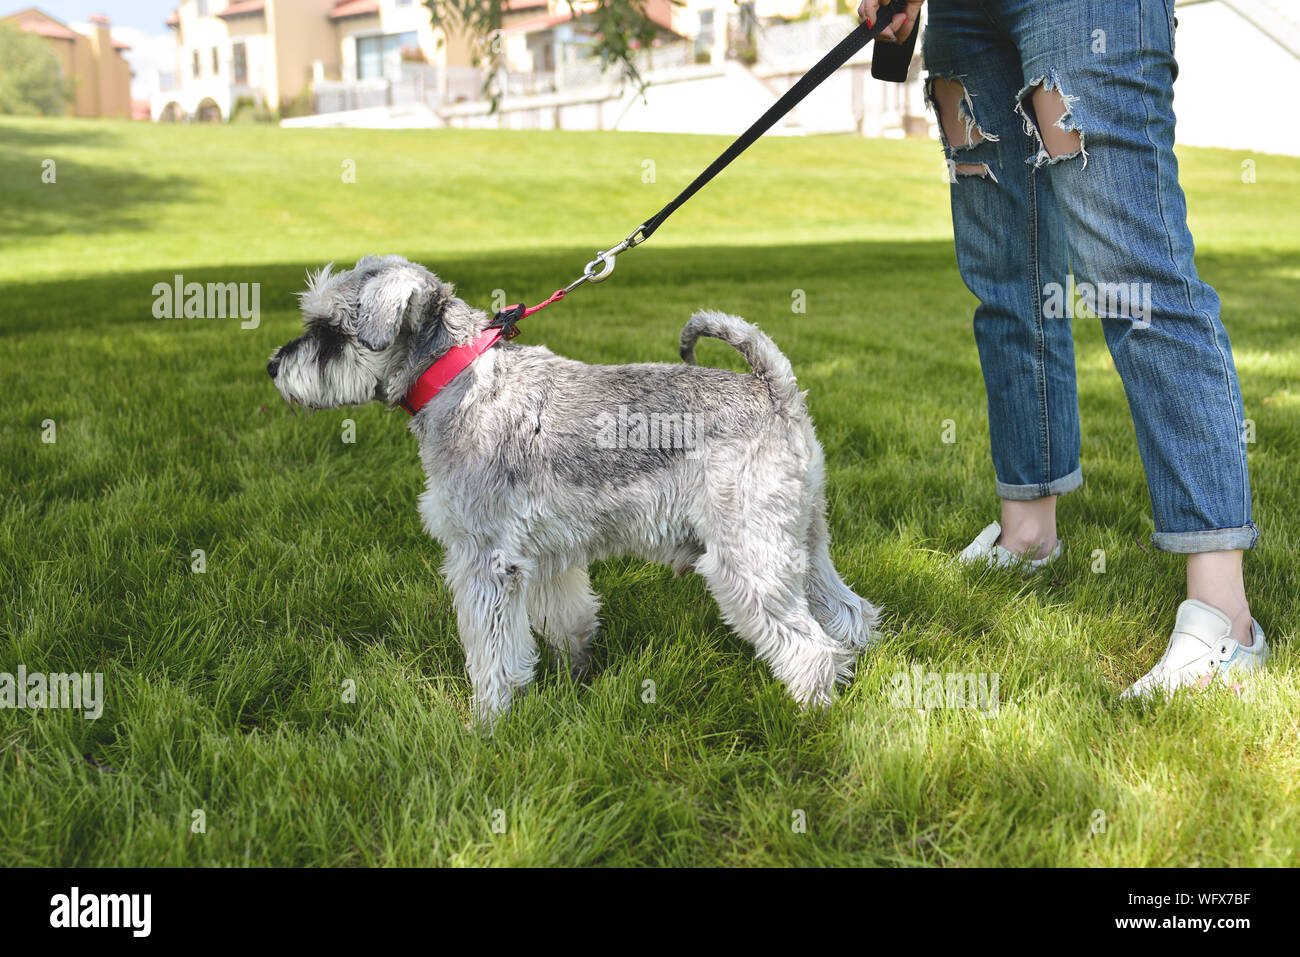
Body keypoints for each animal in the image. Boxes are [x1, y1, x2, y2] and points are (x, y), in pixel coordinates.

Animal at [271, 256, 883, 722]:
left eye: (328, 330)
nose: (274, 365)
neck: (457, 377)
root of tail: (777, 391)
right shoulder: (544, 557)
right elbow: (566, 619)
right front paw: (576, 673)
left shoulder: (485, 559)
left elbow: (493, 655)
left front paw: (487, 722)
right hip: (803, 540)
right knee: (849, 613)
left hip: (748, 556)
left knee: (810, 645)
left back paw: (809, 716)